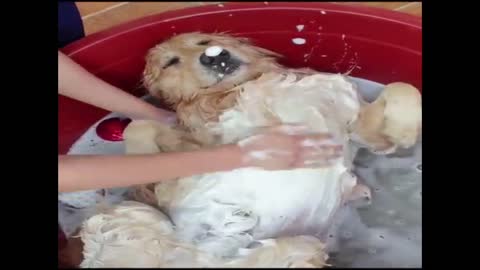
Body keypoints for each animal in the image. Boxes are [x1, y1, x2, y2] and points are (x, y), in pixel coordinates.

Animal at [78, 32, 420, 266]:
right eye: (170, 62)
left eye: (204, 41)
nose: (214, 56)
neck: (235, 91)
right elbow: (140, 129)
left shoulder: (355, 119)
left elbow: (404, 90)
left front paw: (405, 132)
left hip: (304, 245)